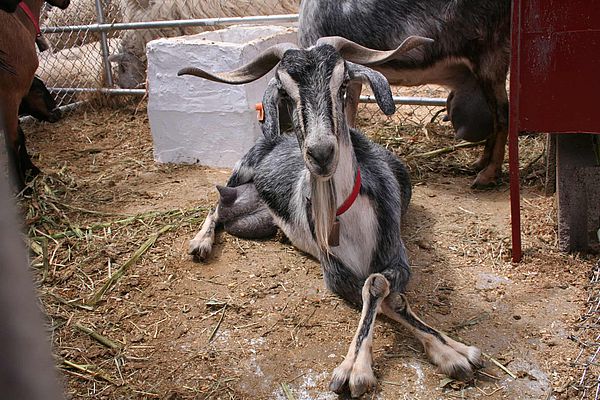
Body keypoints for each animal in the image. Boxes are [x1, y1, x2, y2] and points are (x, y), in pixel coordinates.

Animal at [179, 36, 482, 396]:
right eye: (285, 93)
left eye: (343, 84)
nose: (321, 154)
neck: (349, 216)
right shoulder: (335, 274)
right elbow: (375, 292)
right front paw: (356, 371)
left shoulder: (397, 257)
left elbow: (381, 288)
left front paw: (455, 351)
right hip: (242, 170)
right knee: (216, 203)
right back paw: (200, 243)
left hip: (254, 217)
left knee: (227, 207)